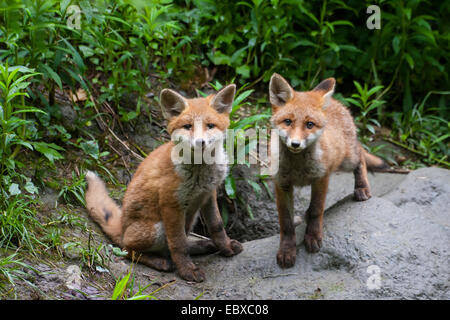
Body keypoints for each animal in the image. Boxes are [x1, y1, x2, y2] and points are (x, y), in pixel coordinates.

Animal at [86, 84, 244, 282]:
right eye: (187, 126)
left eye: (210, 125)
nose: (200, 142)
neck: (200, 174)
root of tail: (122, 227)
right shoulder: (171, 203)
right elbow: (178, 244)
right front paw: (187, 270)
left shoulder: (208, 194)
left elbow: (217, 226)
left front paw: (226, 247)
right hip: (157, 229)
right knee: (128, 250)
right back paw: (159, 261)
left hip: (190, 218)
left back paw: (203, 245)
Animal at [268, 73, 388, 268]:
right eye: (287, 122)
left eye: (309, 124)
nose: (295, 144)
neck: (298, 167)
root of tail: (337, 102)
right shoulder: (282, 183)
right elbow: (286, 223)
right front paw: (287, 250)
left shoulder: (321, 178)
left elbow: (317, 210)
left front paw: (312, 236)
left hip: (347, 160)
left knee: (361, 156)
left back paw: (362, 188)